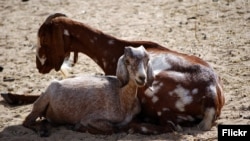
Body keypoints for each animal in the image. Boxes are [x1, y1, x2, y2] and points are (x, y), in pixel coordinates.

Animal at [22, 45, 154, 136]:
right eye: (127, 61)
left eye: (147, 60)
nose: (142, 78)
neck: (121, 97)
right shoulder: (92, 118)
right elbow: (112, 129)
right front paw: (78, 127)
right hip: (42, 101)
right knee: (26, 122)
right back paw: (42, 132)